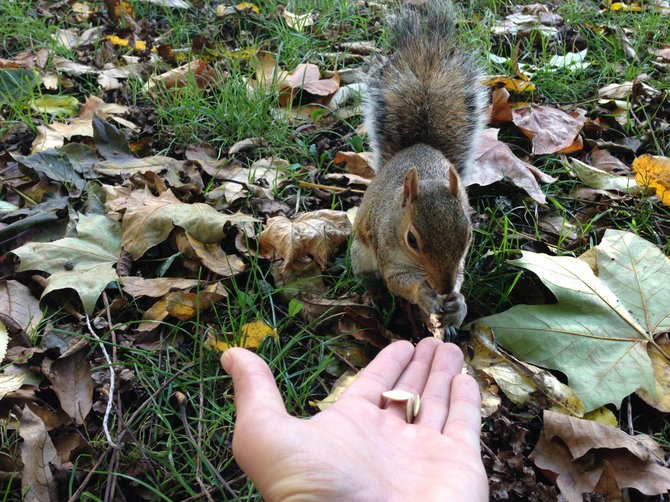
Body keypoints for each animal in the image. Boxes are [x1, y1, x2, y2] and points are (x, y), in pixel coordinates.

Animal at [352, 0, 488, 342]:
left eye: (468, 235)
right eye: (412, 240)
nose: (444, 288)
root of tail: (421, 145)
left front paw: (458, 304)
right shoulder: (387, 248)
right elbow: (398, 280)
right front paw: (425, 295)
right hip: (361, 255)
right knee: (374, 281)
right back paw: (373, 295)